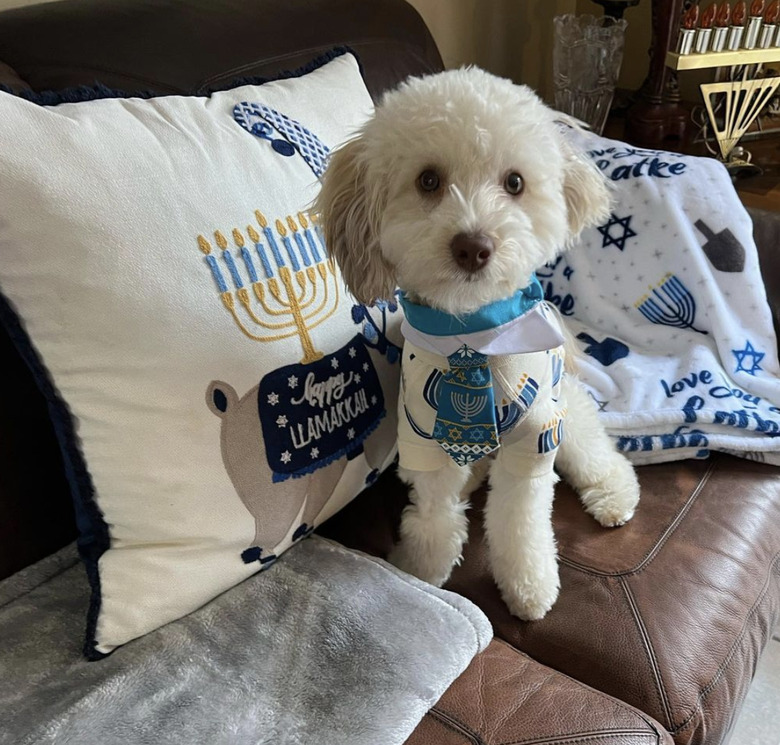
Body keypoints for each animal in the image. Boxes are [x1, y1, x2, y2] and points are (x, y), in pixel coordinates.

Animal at [316, 67, 640, 620]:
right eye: (428, 180)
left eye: (515, 182)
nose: (473, 246)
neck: (471, 334)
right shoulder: (423, 439)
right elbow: (434, 513)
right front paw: (421, 569)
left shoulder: (533, 440)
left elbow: (521, 521)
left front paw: (529, 586)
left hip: (567, 413)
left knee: (598, 455)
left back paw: (613, 496)